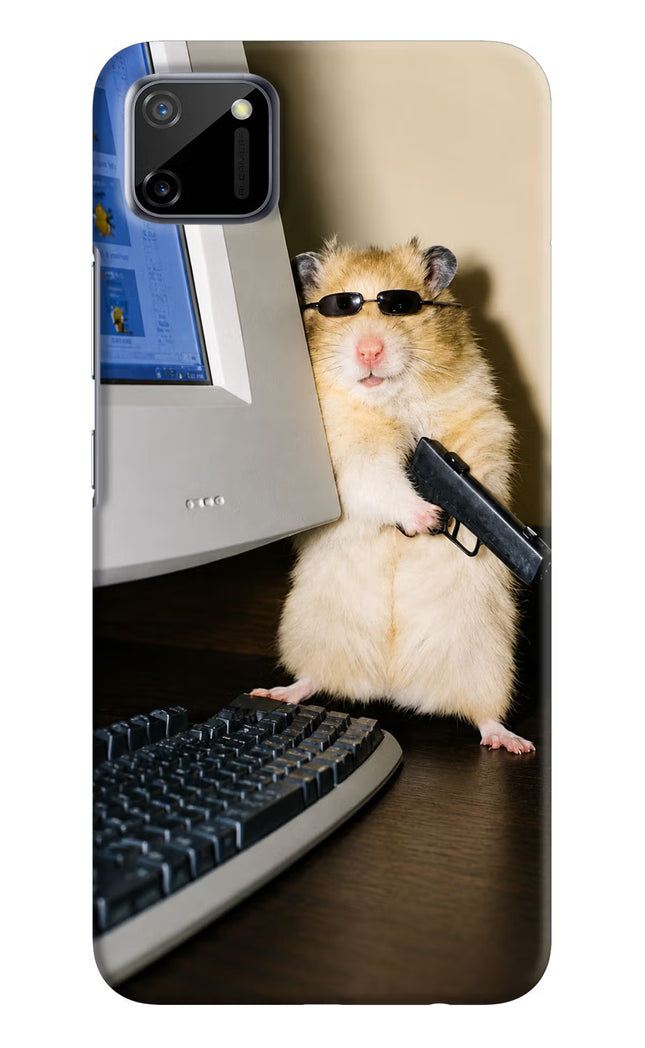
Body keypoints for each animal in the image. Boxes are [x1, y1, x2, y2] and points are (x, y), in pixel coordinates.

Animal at [252, 238, 534, 754]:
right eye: (340, 307)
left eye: (401, 306)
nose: (369, 350)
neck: (389, 401)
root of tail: (393, 686)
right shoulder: (348, 457)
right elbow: (380, 481)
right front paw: (428, 518)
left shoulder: (481, 424)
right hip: (311, 632)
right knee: (313, 678)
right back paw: (276, 692)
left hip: (488, 660)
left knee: (484, 714)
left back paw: (512, 742)